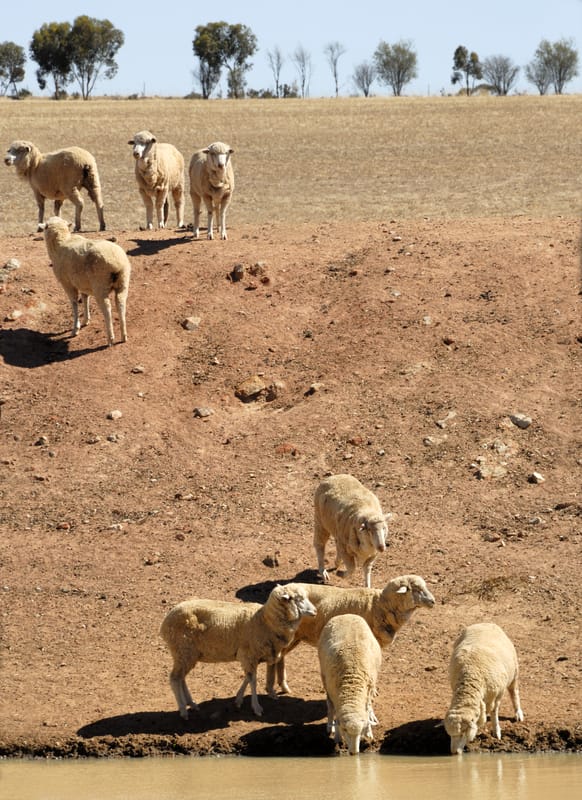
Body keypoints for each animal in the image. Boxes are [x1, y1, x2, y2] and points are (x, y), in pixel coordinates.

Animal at [41, 216, 130, 347]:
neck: (62, 242)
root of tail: (116, 263)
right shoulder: (82, 283)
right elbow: (85, 299)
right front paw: (86, 320)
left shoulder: (67, 284)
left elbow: (74, 303)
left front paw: (75, 328)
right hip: (123, 282)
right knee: (121, 304)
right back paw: (124, 336)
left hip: (100, 286)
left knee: (107, 308)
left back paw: (110, 337)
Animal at [159, 583, 316, 719]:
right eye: (298, 598)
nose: (315, 611)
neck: (264, 621)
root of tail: (164, 623)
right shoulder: (248, 655)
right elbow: (252, 680)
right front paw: (256, 707)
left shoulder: (251, 656)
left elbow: (248, 677)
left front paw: (239, 699)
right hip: (183, 650)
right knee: (175, 679)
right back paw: (183, 710)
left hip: (186, 654)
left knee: (181, 678)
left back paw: (191, 704)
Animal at [266, 573, 435, 697]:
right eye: (417, 589)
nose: (433, 601)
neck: (379, 604)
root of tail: (282, 588)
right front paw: (374, 691)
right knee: (277, 658)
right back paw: (276, 687)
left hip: (293, 637)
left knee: (280, 658)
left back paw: (283, 686)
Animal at [318, 614, 382, 755]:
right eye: (345, 730)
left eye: (360, 731)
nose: (354, 753)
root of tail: (345, 614)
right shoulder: (332, 691)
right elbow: (334, 712)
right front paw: (337, 737)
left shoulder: (368, 689)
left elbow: (367, 709)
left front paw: (369, 732)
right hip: (324, 677)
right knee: (329, 706)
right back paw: (329, 726)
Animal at [444, 622, 524, 755]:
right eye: (450, 734)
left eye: (462, 734)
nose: (454, 752)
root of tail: (485, 623)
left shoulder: (498, 693)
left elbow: (494, 711)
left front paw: (496, 731)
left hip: (514, 672)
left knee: (514, 692)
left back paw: (518, 713)